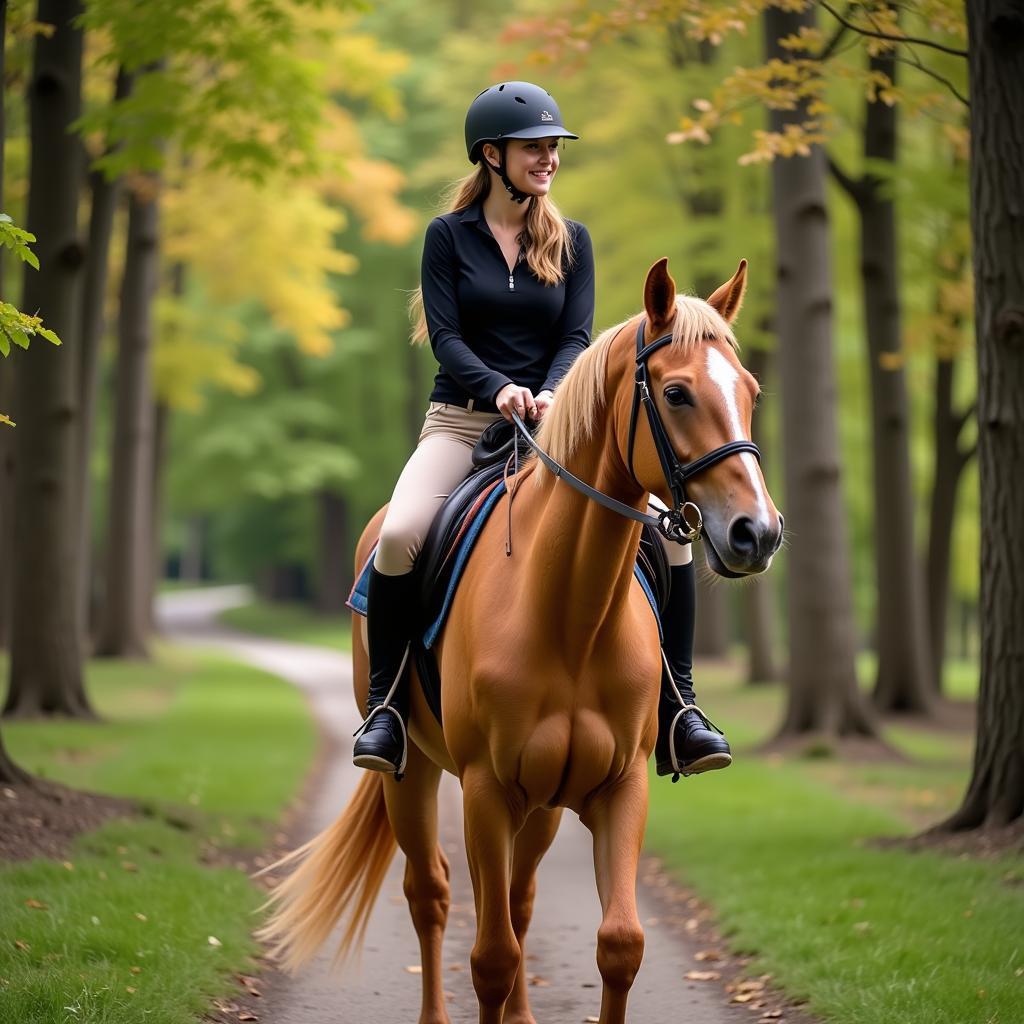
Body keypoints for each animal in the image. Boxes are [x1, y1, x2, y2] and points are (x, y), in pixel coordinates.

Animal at [258, 258, 782, 1024]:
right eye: (677, 392)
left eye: (750, 391)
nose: (757, 533)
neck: (571, 616)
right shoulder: (485, 790)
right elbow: (491, 956)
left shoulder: (620, 786)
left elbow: (618, 943)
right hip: (415, 776)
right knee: (432, 893)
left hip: (544, 804)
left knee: (520, 897)